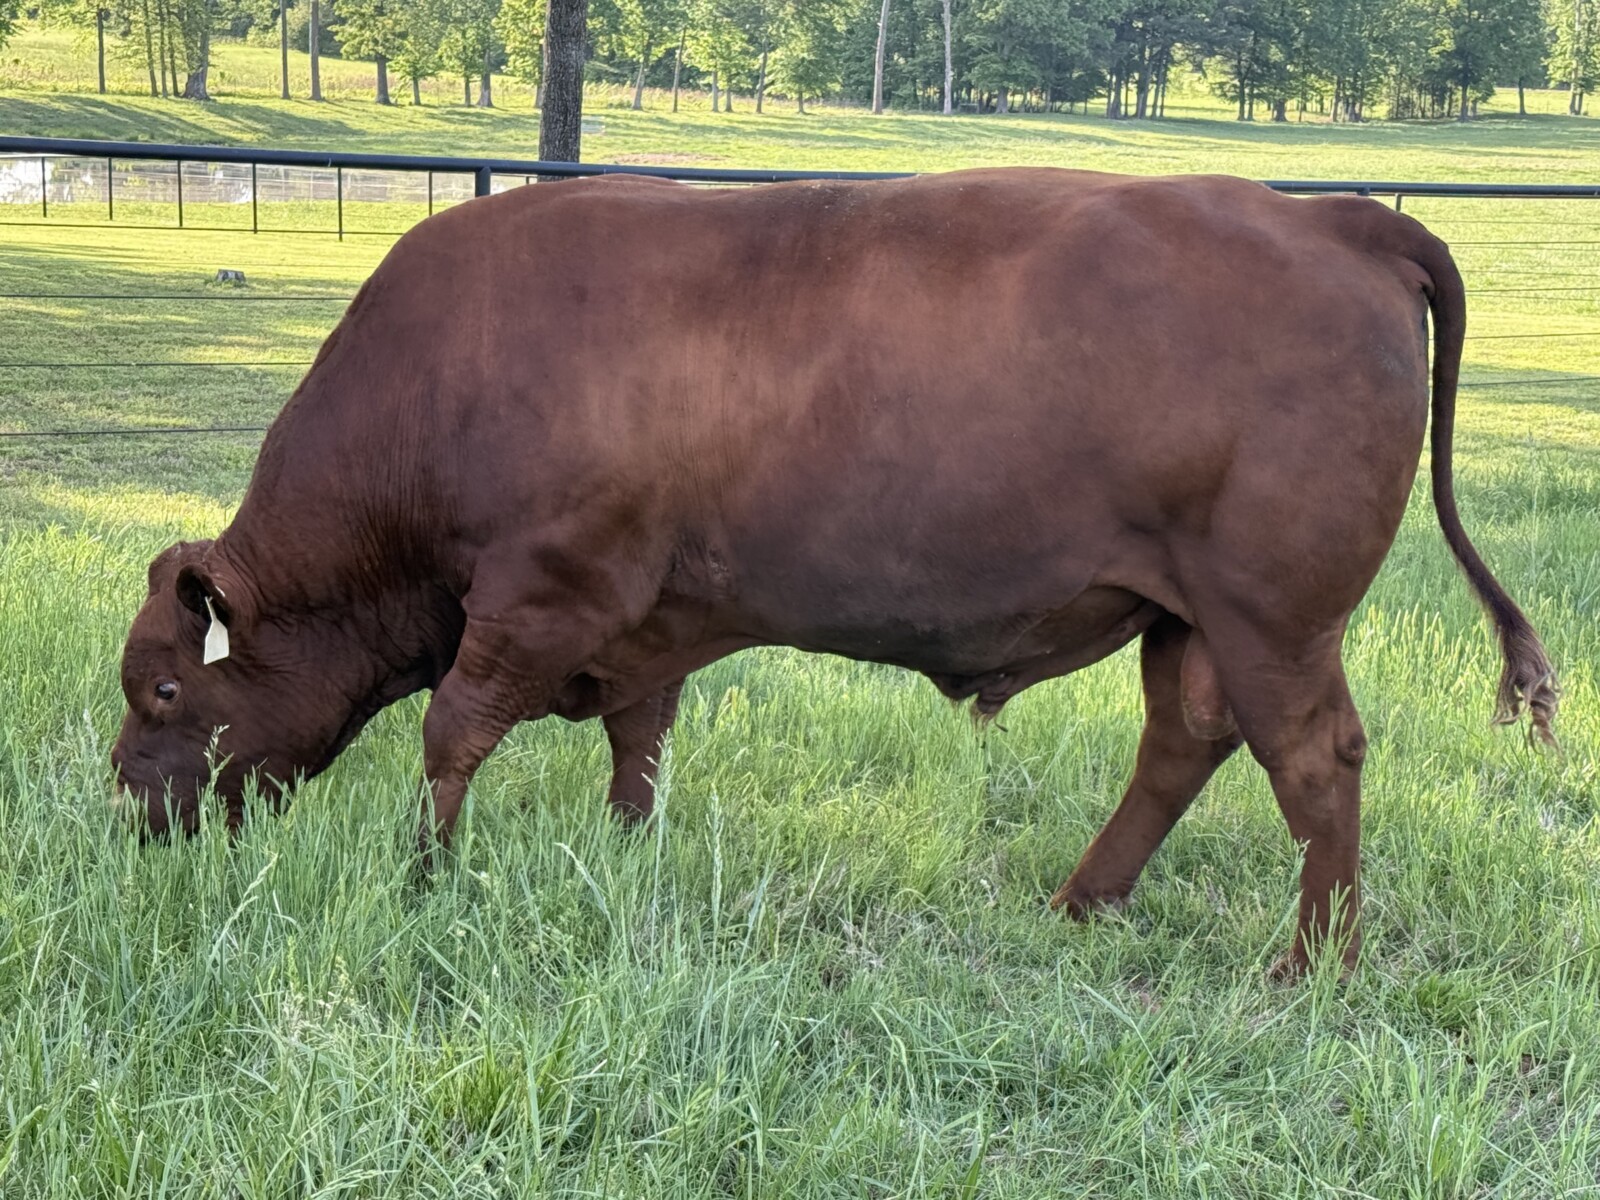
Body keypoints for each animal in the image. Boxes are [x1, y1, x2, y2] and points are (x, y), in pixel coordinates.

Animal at [112, 168, 1557, 975]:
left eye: (166, 693)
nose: (130, 807)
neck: (442, 383)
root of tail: (1336, 220)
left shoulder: (538, 599)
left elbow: (452, 735)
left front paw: (425, 872)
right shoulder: (645, 623)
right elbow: (638, 740)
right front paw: (624, 852)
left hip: (1273, 620)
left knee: (1313, 762)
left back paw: (1311, 968)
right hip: (1186, 619)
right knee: (1184, 743)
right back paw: (1081, 903)